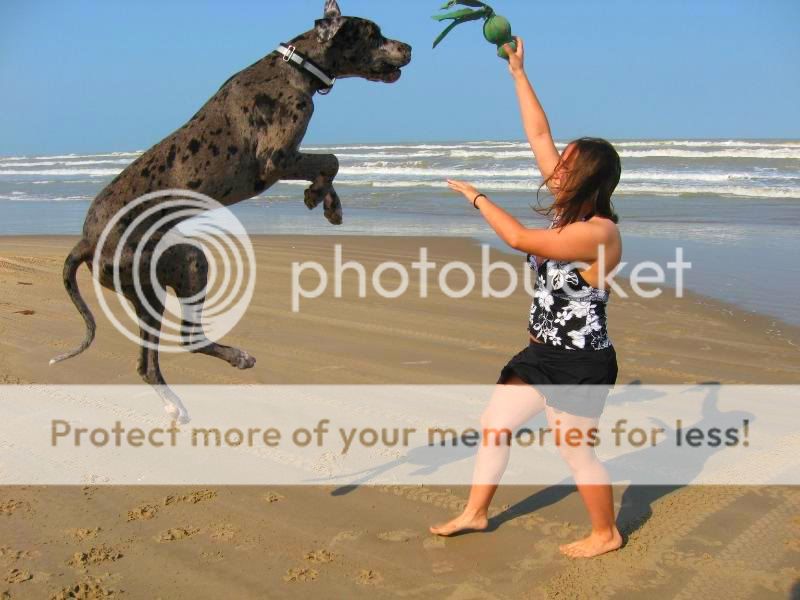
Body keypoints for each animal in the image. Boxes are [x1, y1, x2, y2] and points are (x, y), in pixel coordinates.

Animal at [50, 0, 412, 422]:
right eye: (373, 34)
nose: (409, 48)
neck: (298, 66)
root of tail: (85, 240)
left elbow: (327, 166)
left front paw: (328, 203)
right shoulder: (275, 159)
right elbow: (332, 160)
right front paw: (320, 194)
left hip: (184, 263)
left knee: (156, 357)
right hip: (160, 280)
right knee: (173, 347)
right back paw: (228, 364)